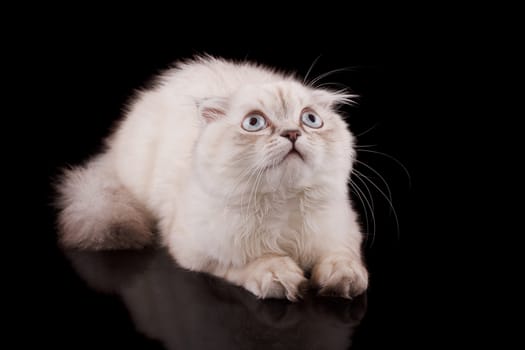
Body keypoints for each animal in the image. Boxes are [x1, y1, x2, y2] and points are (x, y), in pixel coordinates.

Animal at [57, 56, 366, 300]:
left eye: (310, 119)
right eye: (254, 123)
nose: (292, 133)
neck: (282, 203)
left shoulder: (343, 233)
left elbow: (342, 257)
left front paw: (343, 278)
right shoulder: (195, 251)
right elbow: (245, 264)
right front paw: (277, 274)